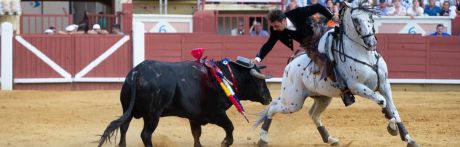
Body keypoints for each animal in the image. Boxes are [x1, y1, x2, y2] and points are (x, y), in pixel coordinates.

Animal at [97, 59, 270, 147]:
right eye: (259, 82)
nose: (269, 98)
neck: (225, 76)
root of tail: (136, 72)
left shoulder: (195, 117)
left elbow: (196, 134)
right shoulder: (216, 113)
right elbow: (230, 127)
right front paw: (225, 141)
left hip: (128, 108)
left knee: (124, 127)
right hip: (153, 114)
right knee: (145, 134)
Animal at [253, 0, 418, 146]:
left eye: (370, 17)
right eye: (356, 19)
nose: (371, 43)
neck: (365, 55)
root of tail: (290, 65)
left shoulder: (384, 84)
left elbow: (394, 109)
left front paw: (408, 139)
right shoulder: (357, 86)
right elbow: (383, 102)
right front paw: (392, 127)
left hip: (322, 97)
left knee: (312, 113)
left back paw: (330, 139)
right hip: (293, 102)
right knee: (273, 107)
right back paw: (263, 139)